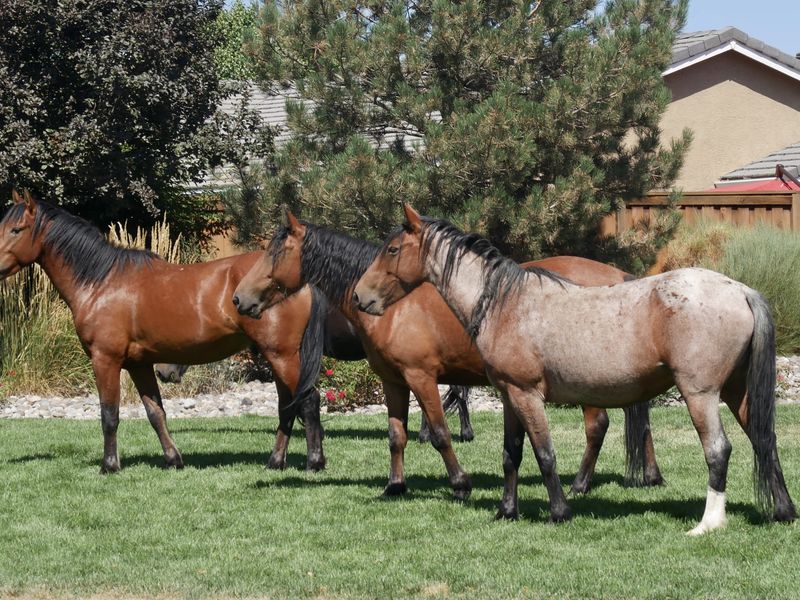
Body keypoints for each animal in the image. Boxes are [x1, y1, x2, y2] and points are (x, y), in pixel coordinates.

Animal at [0, 190, 359, 473]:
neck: (101, 282)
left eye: (16, 229)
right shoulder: (139, 364)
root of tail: (303, 283)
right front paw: (173, 459)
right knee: (288, 405)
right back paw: (275, 462)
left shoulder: (106, 360)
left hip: (283, 356)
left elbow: (109, 414)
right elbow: (155, 412)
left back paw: (314, 462)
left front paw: (110, 465)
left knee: (307, 401)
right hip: (279, 357)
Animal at [231, 211, 663, 500]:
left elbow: (439, 433)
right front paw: (395, 485)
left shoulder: (421, 377)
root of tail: (619, 275)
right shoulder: (393, 382)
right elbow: (396, 435)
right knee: (640, 423)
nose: (239, 298)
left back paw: (579, 484)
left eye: (274, 253)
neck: (395, 306)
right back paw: (651, 476)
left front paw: (460, 483)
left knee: (598, 427)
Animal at [352, 203, 796, 534]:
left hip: (700, 395)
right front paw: (507, 510)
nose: (359, 296)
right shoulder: (510, 396)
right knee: (764, 439)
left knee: (718, 450)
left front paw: (560, 511)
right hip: (737, 391)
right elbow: (511, 454)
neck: (506, 303)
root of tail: (741, 290)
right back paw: (783, 511)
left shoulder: (528, 395)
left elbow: (545, 454)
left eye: (392, 250)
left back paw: (709, 523)